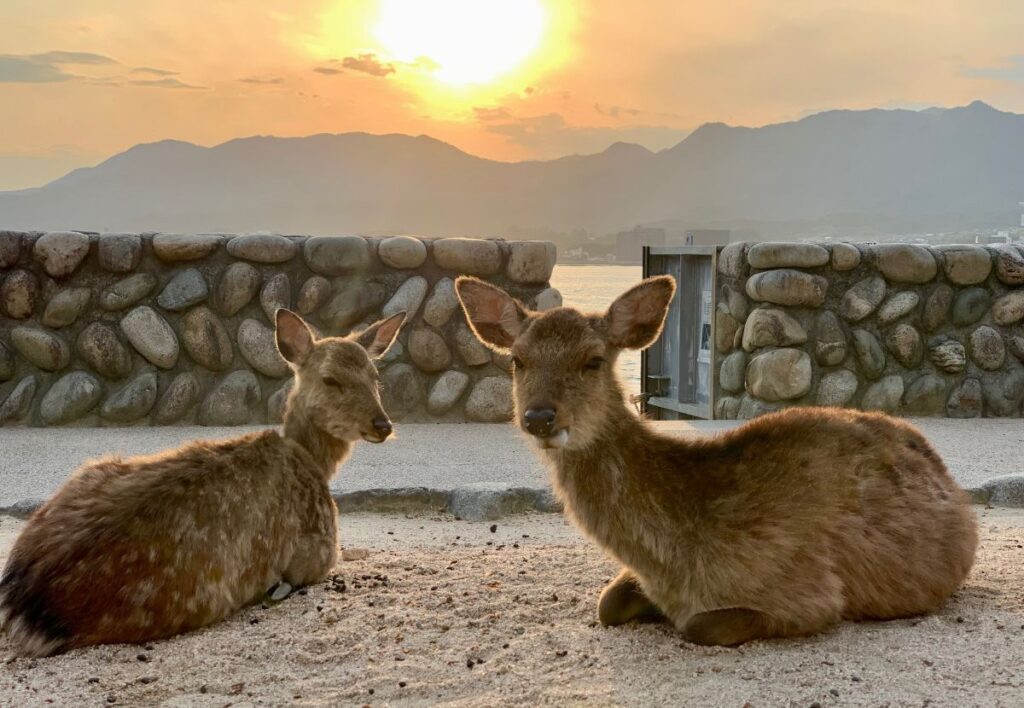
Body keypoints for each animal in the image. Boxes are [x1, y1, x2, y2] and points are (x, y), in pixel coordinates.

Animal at [0, 309, 405, 657]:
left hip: (91, 469)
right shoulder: (319, 549)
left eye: (375, 378)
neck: (311, 462)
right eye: (330, 379)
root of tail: (23, 607)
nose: (382, 425)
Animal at [456, 275, 978, 646]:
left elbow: (699, 627)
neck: (675, 560)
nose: (539, 416)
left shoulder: (810, 593)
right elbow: (606, 603)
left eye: (593, 360)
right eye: (518, 360)